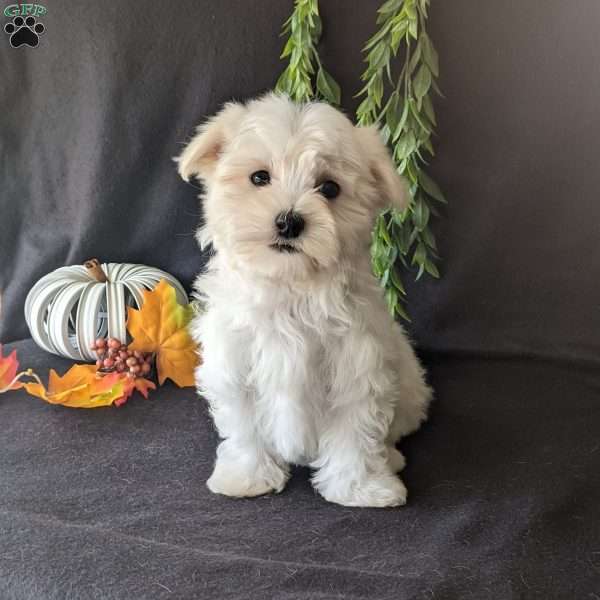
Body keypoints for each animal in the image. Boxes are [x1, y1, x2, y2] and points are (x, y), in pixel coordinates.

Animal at [177, 94, 432, 506]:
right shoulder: (236, 366)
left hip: (409, 389)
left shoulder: (357, 367)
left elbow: (355, 432)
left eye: (329, 188)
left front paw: (360, 488)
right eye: (259, 177)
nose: (289, 221)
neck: (291, 287)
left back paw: (390, 458)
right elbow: (245, 427)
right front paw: (247, 477)